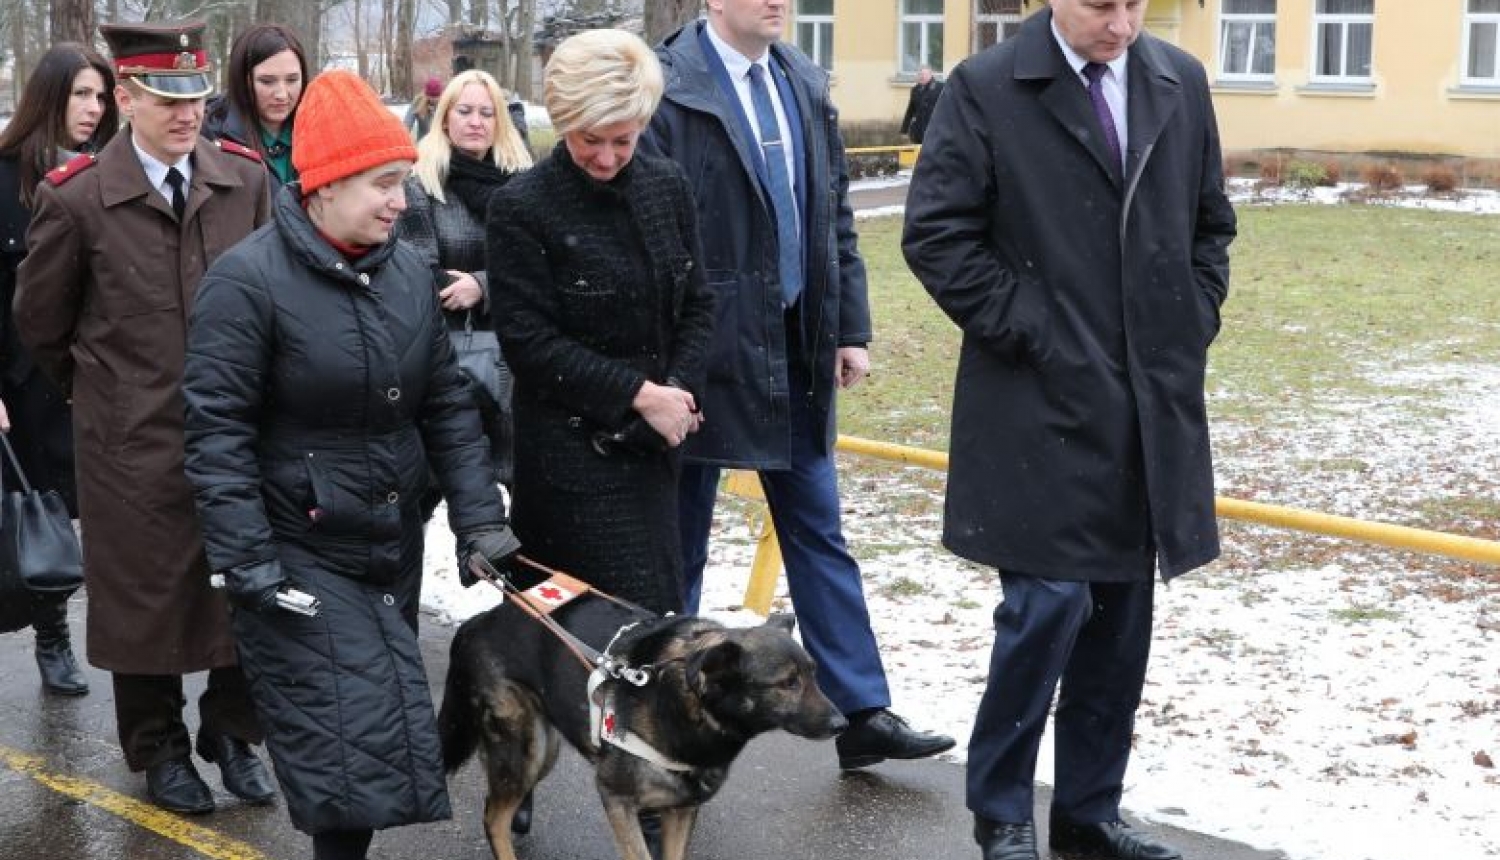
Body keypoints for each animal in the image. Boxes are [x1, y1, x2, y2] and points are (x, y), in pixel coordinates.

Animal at [438, 582, 852, 858]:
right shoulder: (616, 798)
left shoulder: (681, 811)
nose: (842, 725)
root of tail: (475, 623)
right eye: (787, 683)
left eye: (814, 674)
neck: (687, 705)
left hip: (544, 748)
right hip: (526, 749)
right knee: (493, 818)